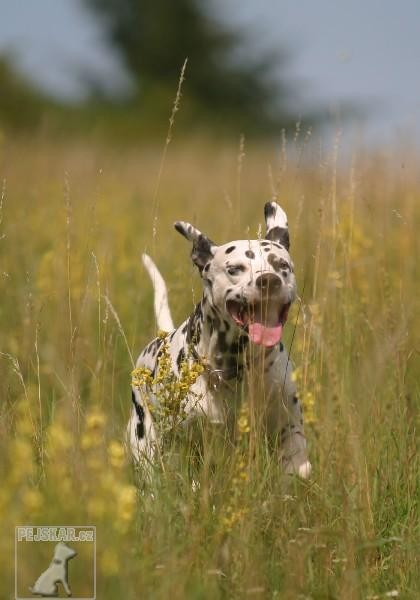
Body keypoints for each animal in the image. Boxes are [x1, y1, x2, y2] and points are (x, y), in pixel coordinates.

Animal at [128, 202, 312, 478]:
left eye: (282, 266)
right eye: (234, 269)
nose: (269, 280)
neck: (236, 367)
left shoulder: (288, 427)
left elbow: (298, 467)